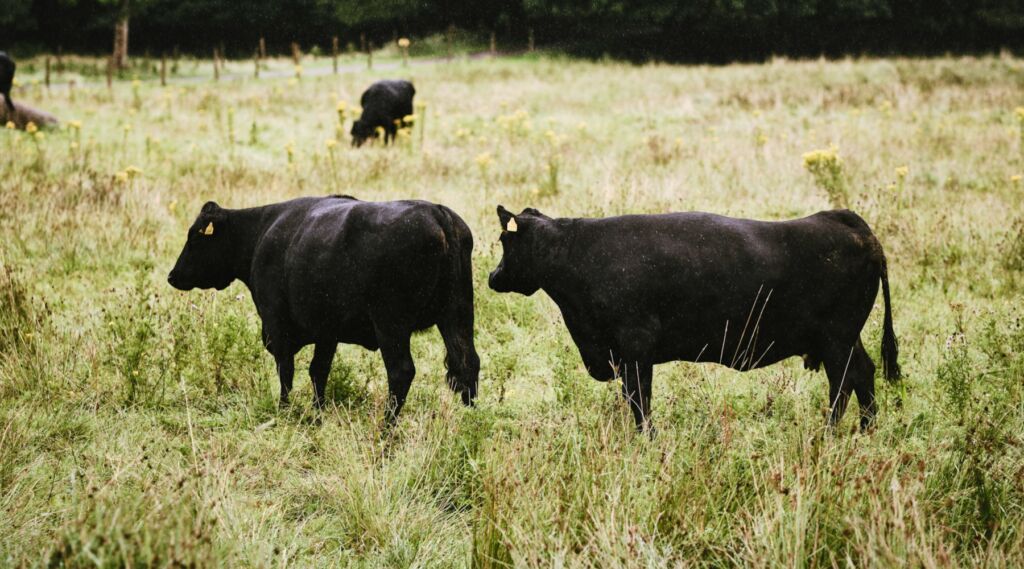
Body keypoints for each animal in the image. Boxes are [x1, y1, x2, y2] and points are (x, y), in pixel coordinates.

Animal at [168, 196, 480, 424]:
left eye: (195, 238)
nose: (172, 276)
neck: (261, 234)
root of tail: (437, 213)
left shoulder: (276, 323)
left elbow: (286, 370)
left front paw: (284, 410)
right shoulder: (327, 331)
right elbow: (318, 371)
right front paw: (317, 412)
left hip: (391, 324)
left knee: (401, 372)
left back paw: (386, 428)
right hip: (457, 315)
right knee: (468, 363)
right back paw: (471, 420)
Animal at [488, 206, 900, 433]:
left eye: (505, 241)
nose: (493, 277)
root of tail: (846, 221)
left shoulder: (635, 349)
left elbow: (640, 402)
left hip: (837, 339)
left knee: (845, 382)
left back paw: (832, 433)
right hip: (843, 339)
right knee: (862, 375)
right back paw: (864, 430)